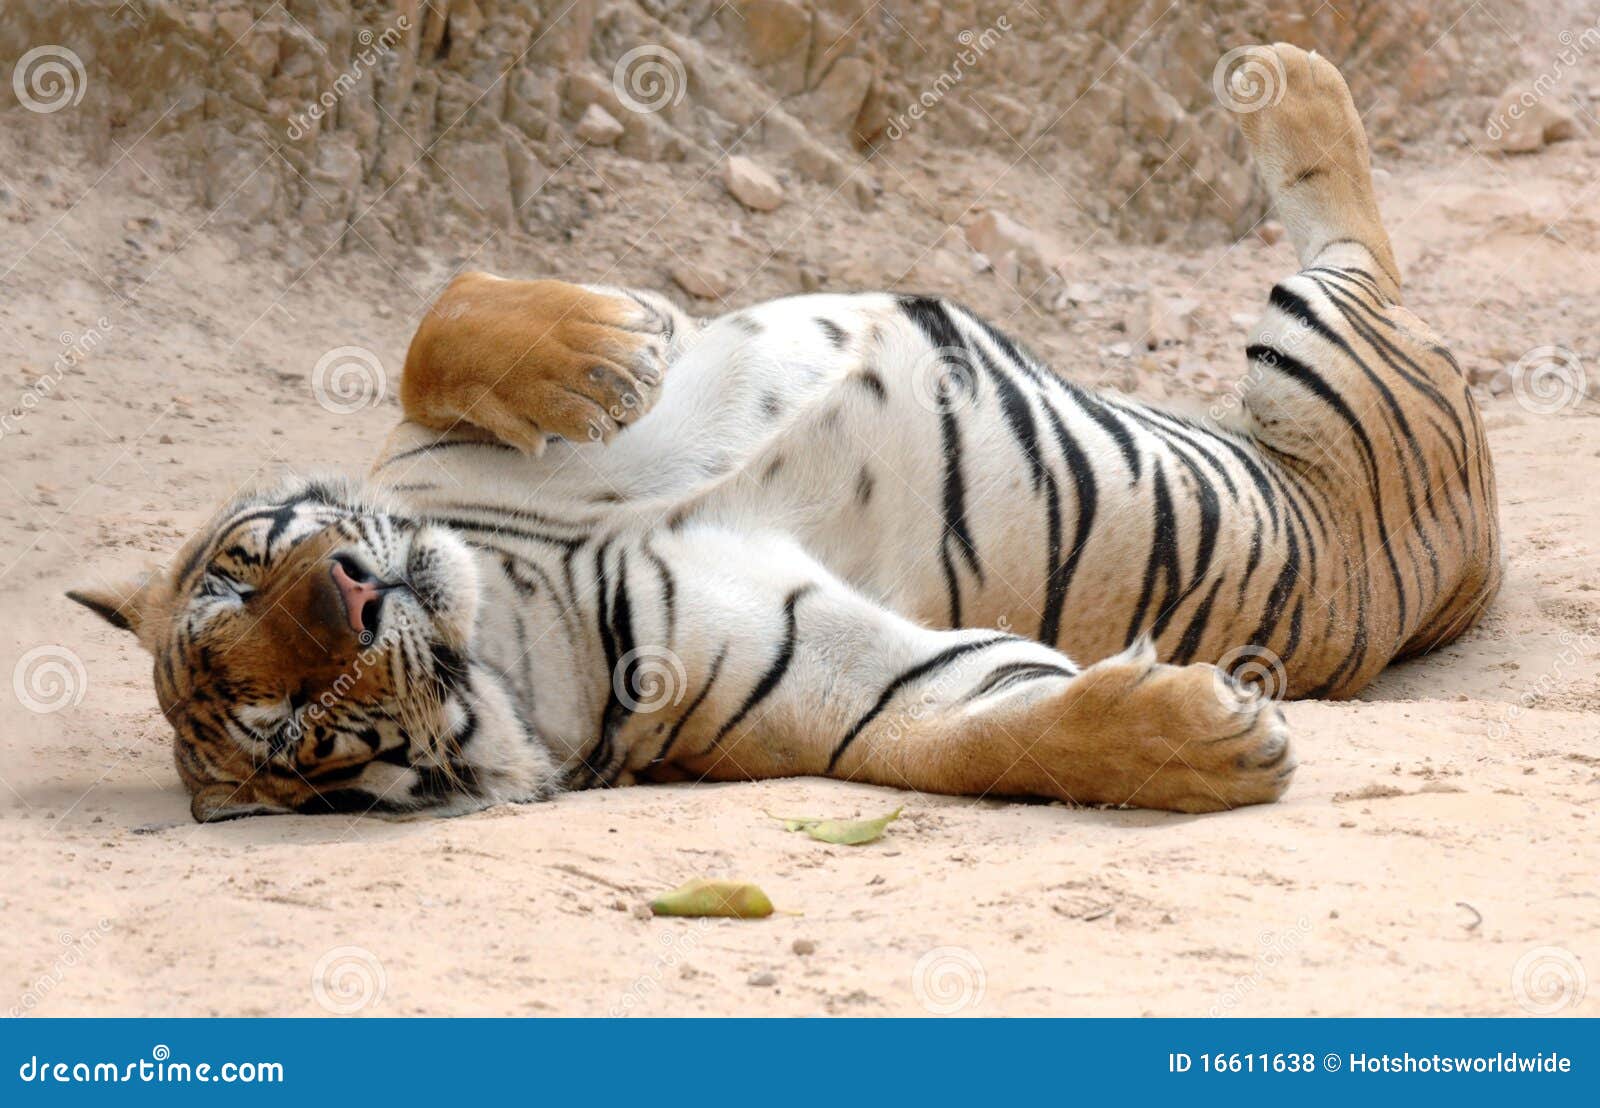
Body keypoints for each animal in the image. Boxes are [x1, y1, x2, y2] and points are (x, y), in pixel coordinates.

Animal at [68, 45, 1491, 819]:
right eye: (288, 724)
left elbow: (447, 313)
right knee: (1359, 254)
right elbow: (997, 731)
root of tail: (1474, 569)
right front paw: (1203, 743)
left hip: (1316, 349)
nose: (351, 595)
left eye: (248, 565)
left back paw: (1281, 71)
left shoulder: (426, 439)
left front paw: (604, 356)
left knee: (1353, 222)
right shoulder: (848, 688)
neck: (516, 600)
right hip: (1329, 359)